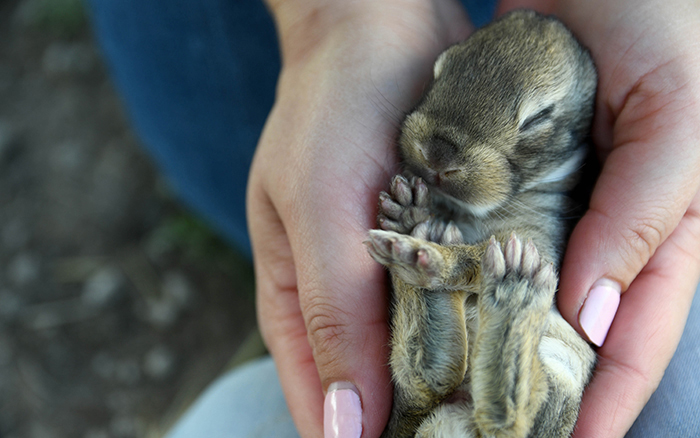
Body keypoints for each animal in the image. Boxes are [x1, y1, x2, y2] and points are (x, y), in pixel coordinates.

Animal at [366, 10, 596, 438]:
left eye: (538, 118)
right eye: (440, 69)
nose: (438, 154)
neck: (470, 213)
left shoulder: (536, 244)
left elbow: (472, 257)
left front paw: (438, 253)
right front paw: (411, 213)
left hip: (561, 377)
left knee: (508, 421)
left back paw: (512, 292)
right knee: (431, 380)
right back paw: (413, 232)